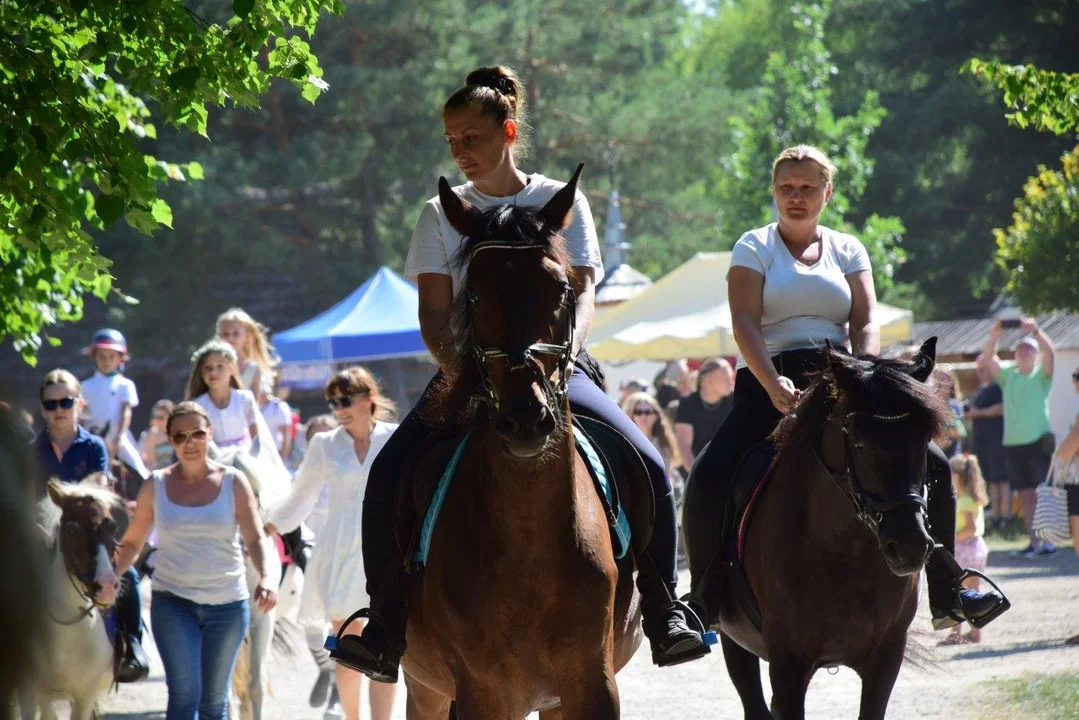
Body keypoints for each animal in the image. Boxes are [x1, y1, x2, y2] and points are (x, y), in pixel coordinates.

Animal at [401, 166, 643, 716]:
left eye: (560, 288)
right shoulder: (482, 691)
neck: (527, 531)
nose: (526, 420)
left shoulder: (592, 682)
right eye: (473, 295)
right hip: (427, 690)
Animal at [686, 343, 949, 720]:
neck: (846, 552)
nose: (910, 547)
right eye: (861, 444)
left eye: (925, 440)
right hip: (733, 637)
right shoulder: (788, 666)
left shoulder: (886, 658)